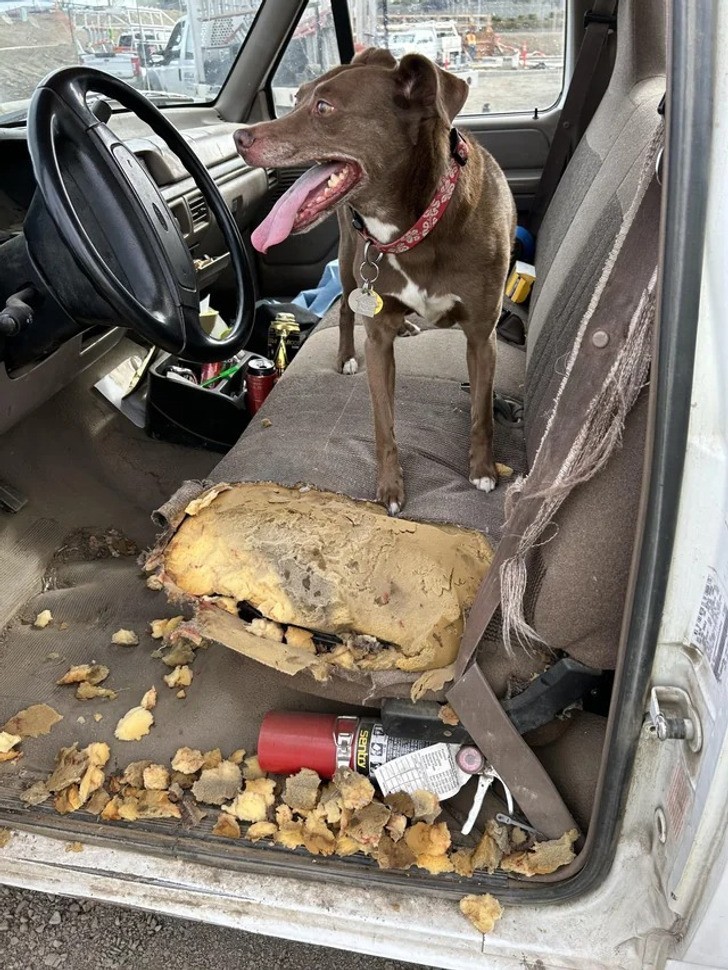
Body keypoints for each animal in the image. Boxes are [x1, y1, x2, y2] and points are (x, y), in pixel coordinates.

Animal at [236, 47, 516, 516]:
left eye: (323, 107)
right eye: (295, 97)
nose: (239, 137)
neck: (417, 227)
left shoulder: (482, 337)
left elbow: (480, 411)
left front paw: (482, 470)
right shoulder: (378, 340)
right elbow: (384, 422)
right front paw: (390, 488)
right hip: (350, 262)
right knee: (349, 312)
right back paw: (347, 355)